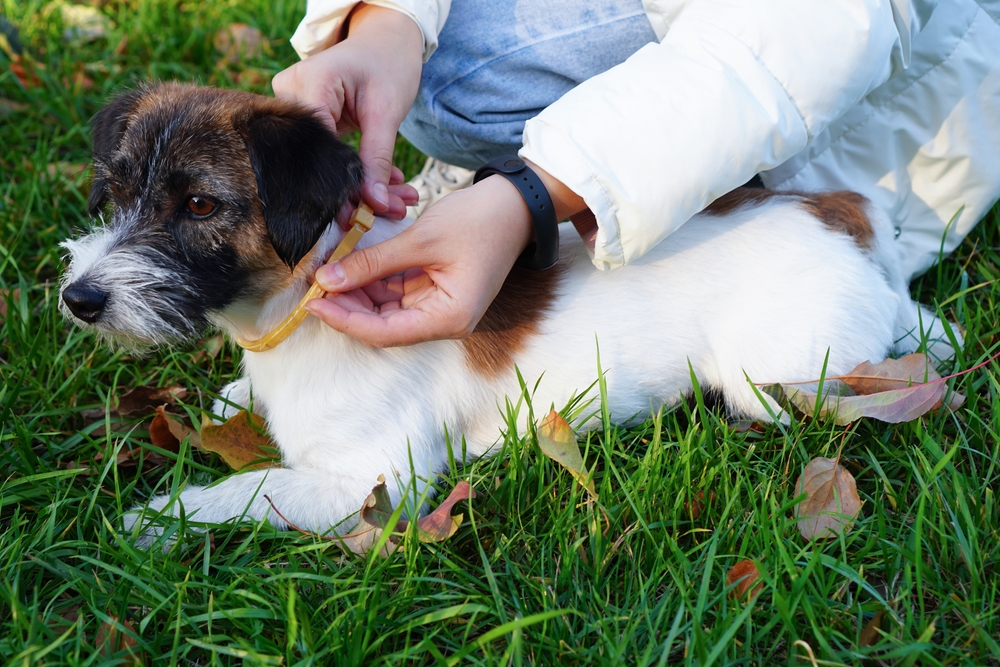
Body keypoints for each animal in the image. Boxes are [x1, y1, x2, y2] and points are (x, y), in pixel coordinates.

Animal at [60, 83, 952, 544]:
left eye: (201, 204)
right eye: (118, 187)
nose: (79, 298)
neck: (294, 305)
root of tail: (842, 212)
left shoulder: (374, 481)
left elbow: (250, 489)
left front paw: (160, 519)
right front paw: (231, 402)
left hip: (771, 375)